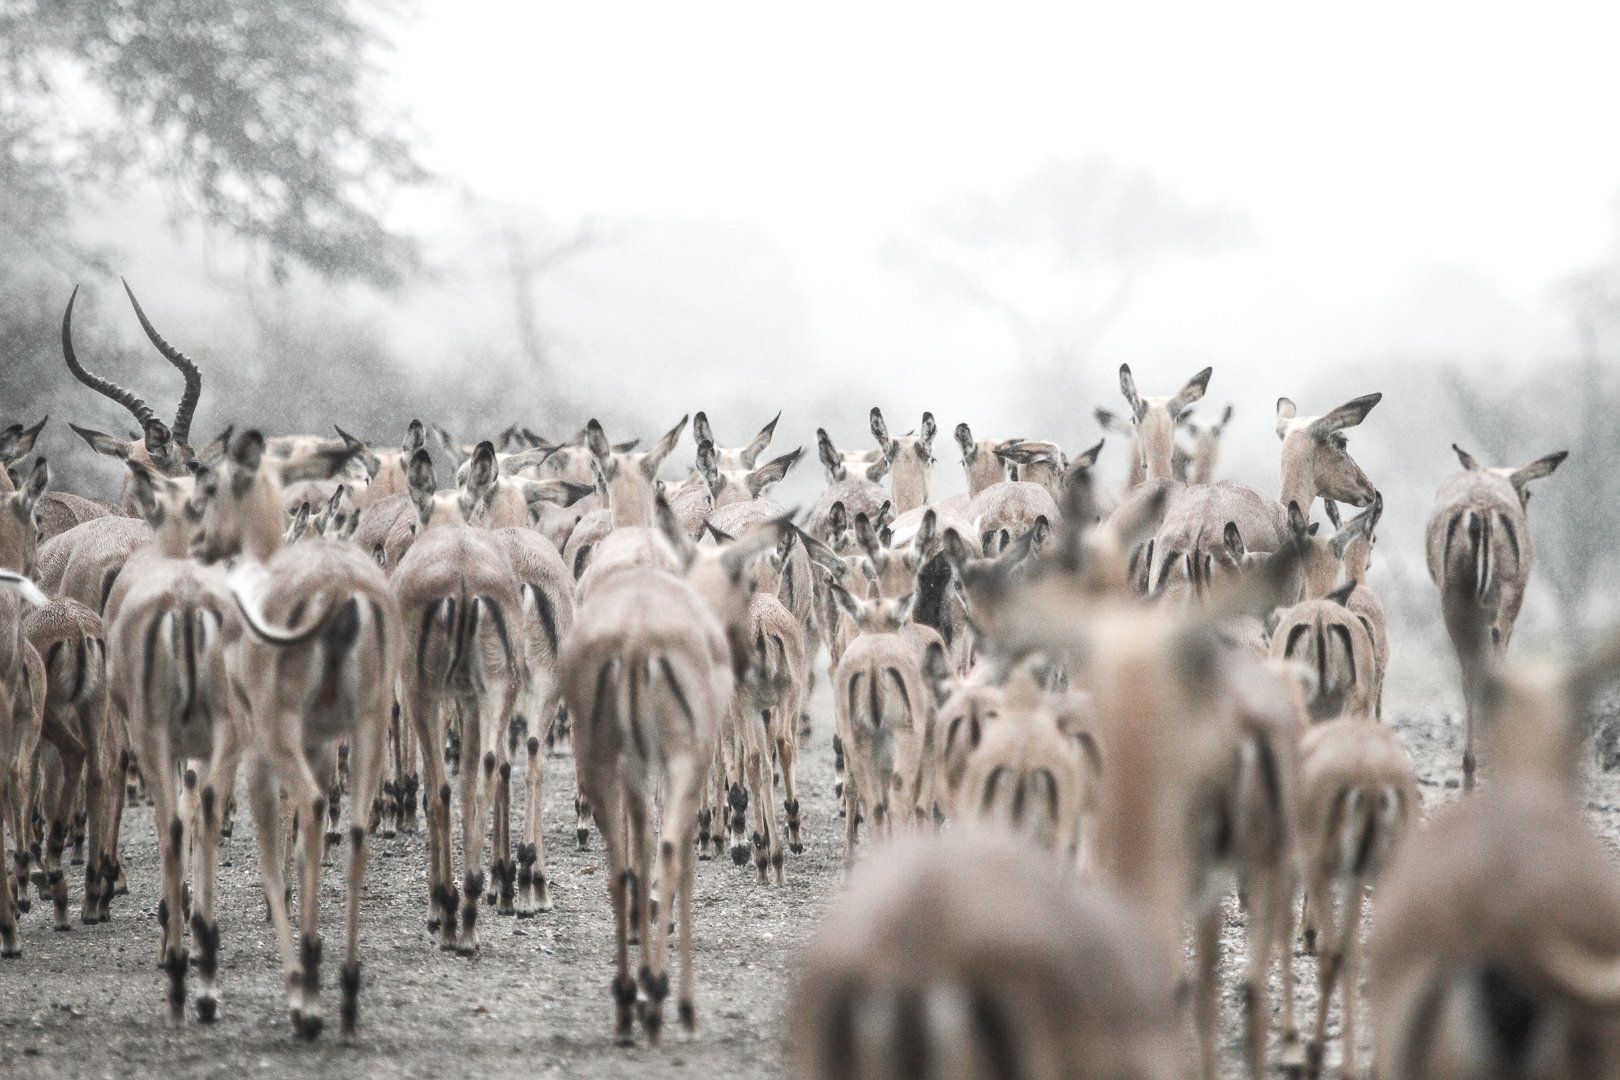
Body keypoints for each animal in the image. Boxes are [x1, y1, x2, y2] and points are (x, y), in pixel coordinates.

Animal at [193, 429, 398, 1039]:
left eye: (212, 486)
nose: (200, 542)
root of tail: (342, 593)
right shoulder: (322, 743)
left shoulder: (254, 744)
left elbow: (254, 837)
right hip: (368, 727)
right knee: (353, 826)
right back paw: (346, 990)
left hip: (279, 733)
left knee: (304, 803)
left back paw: (306, 997)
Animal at [1426, 443, 1566, 789]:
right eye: (1528, 492)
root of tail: (1481, 511)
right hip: (1505, 602)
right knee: (1492, 668)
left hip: (1456, 604)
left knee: (1469, 673)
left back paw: (1469, 770)